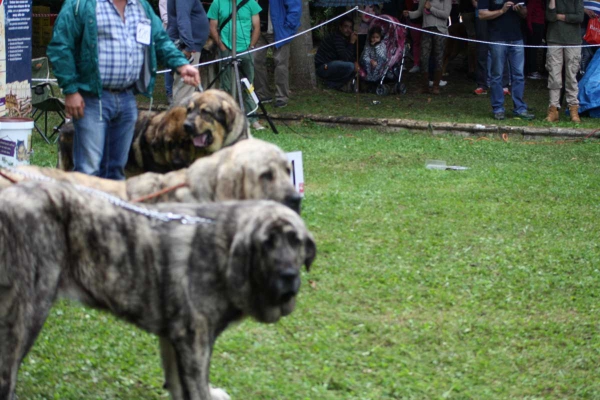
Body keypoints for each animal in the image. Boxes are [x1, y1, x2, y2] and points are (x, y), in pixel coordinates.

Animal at [0, 181, 316, 400]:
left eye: (296, 241)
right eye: (266, 243)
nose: (289, 276)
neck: (224, 247)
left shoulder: (174, 338)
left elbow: (177, 385)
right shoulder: (195, 340)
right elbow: (198, 389)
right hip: (27, 314)